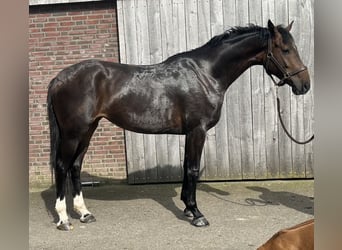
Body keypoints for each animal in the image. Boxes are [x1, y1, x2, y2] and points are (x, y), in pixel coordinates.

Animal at [46, 20, 310, 230]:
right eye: (285, 49)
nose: (304, 85)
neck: (207, 73)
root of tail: (59, 78)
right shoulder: (197, 130)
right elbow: (192, 169)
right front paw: (197, 214)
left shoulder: (190, 133)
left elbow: (186, 168)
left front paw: (188, 209)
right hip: (73, 133)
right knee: (62, 166)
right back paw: (63, 219)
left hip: (87, 130)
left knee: (75, 166)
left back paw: (84, 213)